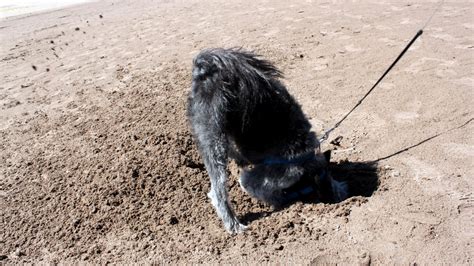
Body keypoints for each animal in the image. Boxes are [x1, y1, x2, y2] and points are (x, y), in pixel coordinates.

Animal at [187, 47, 346, 233]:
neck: (306, 159)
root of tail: (208, 70)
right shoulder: (266, 178)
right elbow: (261, 189)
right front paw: (284, 203)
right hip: (214, 137)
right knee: (218, 191)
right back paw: (233, 224)